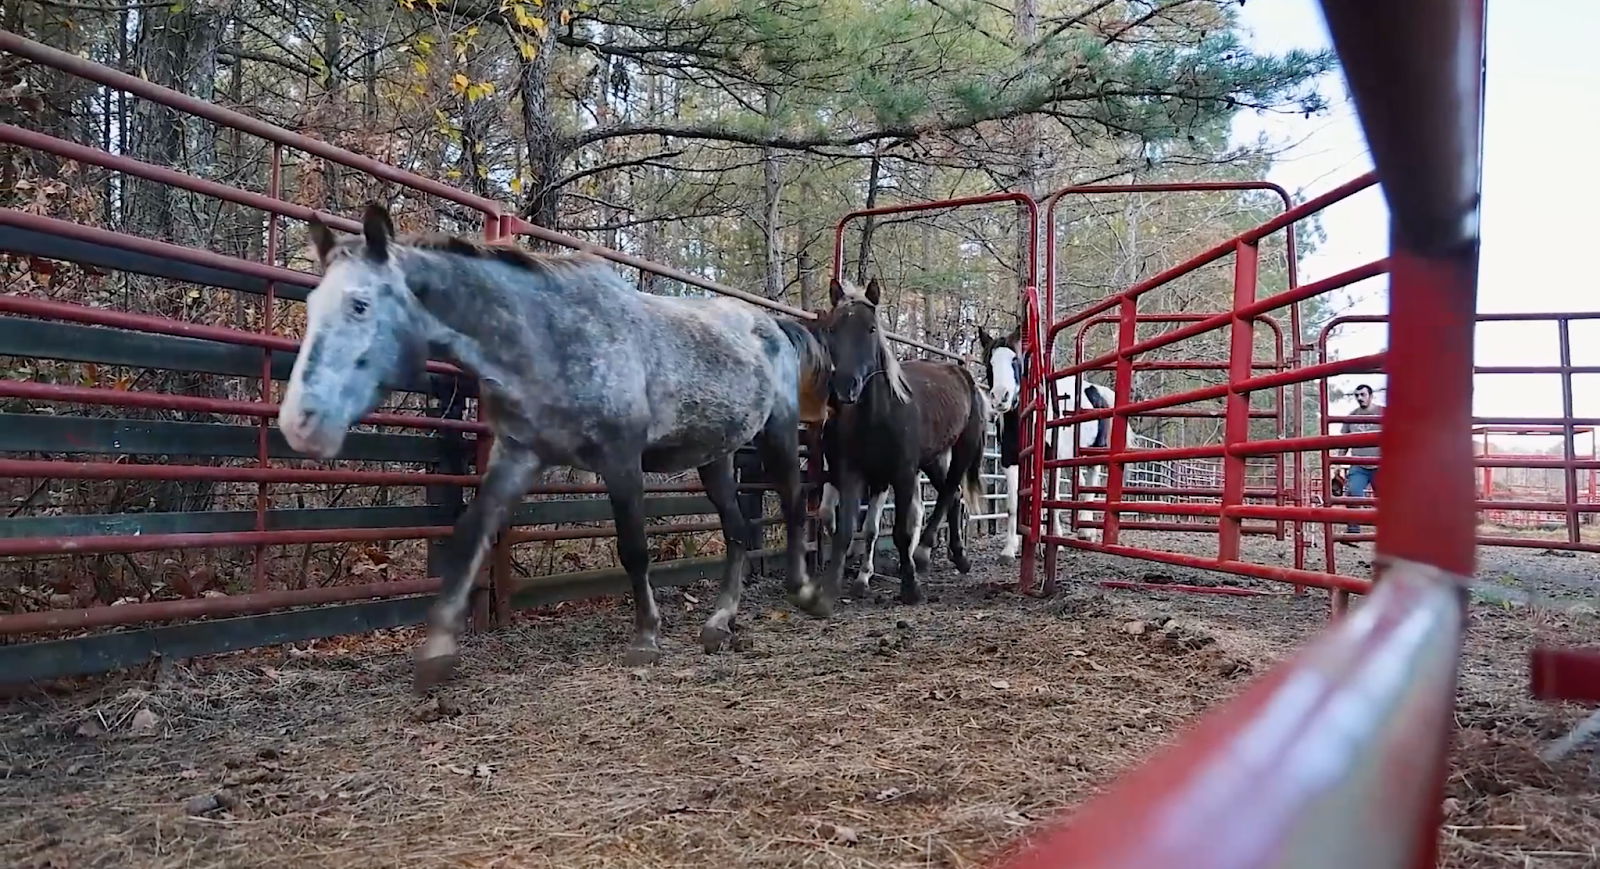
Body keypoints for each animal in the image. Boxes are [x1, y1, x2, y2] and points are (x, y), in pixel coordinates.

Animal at [278, 203, 833, 693]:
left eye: (360, 304)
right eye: (313, 305)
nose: (301, 423)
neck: (546, 337)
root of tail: (775, 325)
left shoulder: (620, 459)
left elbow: (633, 548)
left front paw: (646, 639)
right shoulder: (518, 455)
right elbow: (470, 537)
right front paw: (436, 654)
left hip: (779, 433)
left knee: (792, 504)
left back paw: (807, 593)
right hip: (715, 457)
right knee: (737, 530)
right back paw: (719, 623)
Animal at [811, 276, 988, 606]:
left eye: (871, 328)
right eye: (832, 329)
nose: (845, 385)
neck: (880, 415)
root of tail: (962, 372)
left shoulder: (901, 474)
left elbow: (900, 532)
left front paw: (909, 586)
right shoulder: (852, 472)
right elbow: (845, 529)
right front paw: (830, 588)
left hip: (963, 449)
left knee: (949, 492)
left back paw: (924, 553)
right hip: (933, 459)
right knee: (954, 494)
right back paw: (958, 556)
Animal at [977, 324, 1114, 562]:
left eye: (1016, 361)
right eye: (989, 362)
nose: (1001, 397)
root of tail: (1096, 391)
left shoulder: (1053, 457)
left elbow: (1053, 499)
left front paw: (1055, 540)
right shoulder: (1010, 460)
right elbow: (1015, 503)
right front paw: (1010, 548)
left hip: (1095, 450)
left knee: (1090, 479)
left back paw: (1086, 532)